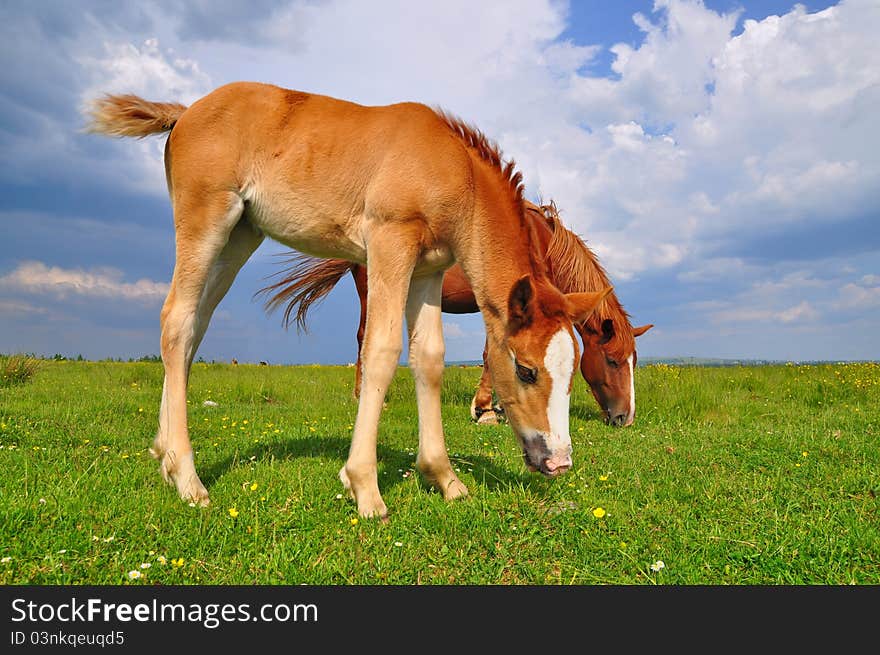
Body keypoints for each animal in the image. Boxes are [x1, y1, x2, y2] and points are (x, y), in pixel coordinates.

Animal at [258, 200, 648, 426]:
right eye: (612, 361)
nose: (625, 417)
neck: (540, 243)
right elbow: (492, 352)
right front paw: (485, 409)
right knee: (363, 338)